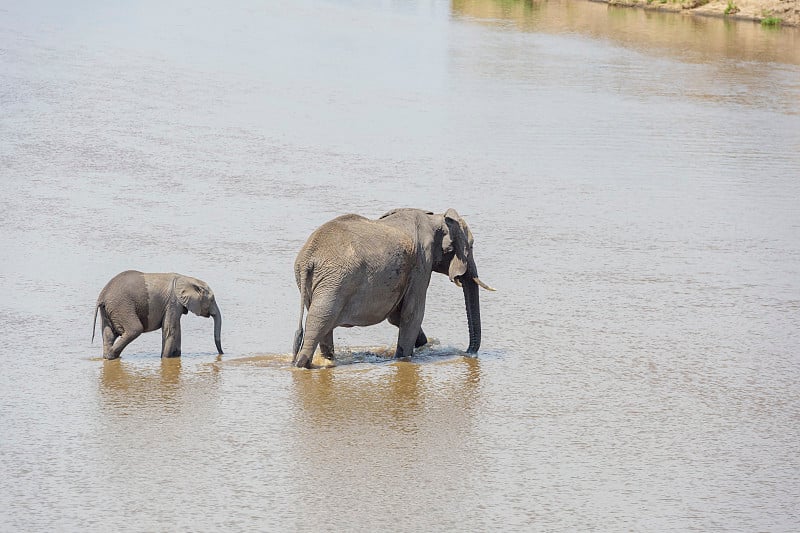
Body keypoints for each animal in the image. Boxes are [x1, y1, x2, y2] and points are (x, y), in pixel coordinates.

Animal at [92, 268, 223, 360]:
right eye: (212, 300)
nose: (222, 353)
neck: (186, 279)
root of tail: (102, 295)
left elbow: (177, 329)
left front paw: (175, 356)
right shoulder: (173, 302)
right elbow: (170, 329)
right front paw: (165, 358)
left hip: (108, 310)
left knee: (108, 334)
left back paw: (108, 357)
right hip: (122, 306)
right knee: (135, 329)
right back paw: (111, 356)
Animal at [290, 207, 490, 366]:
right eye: (471, 246)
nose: (467, 353)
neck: (436, 218)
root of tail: (308, 258)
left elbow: (397, 315)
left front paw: (423, 344)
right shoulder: (421, 263)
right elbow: (412, 313)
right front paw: (404, 357)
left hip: (316, 283)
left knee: (322, 326)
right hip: (335, 283)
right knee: (320, 322)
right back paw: (303, 364)